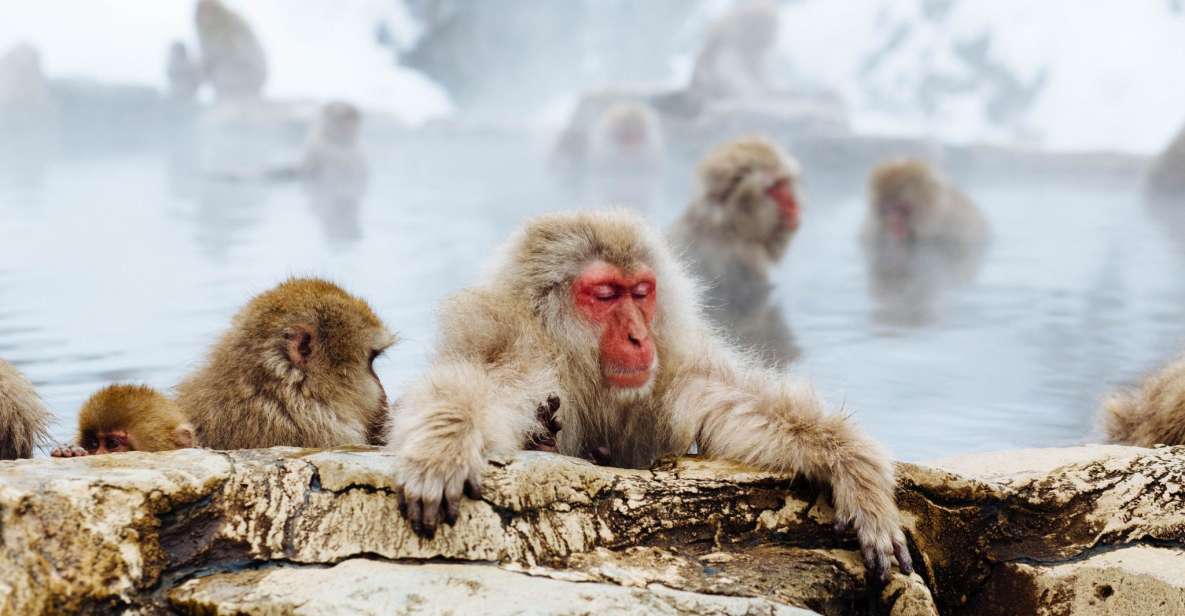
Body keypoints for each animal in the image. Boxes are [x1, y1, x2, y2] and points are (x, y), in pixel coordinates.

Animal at [387, 210, 912, 584]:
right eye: (604, 294)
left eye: (640, 292)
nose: (639, 337)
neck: (577, 363)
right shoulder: (516, 348)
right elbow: (476, 387)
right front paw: (444, 446)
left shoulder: (670, 367)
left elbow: (735, 406)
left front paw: (854, 470)